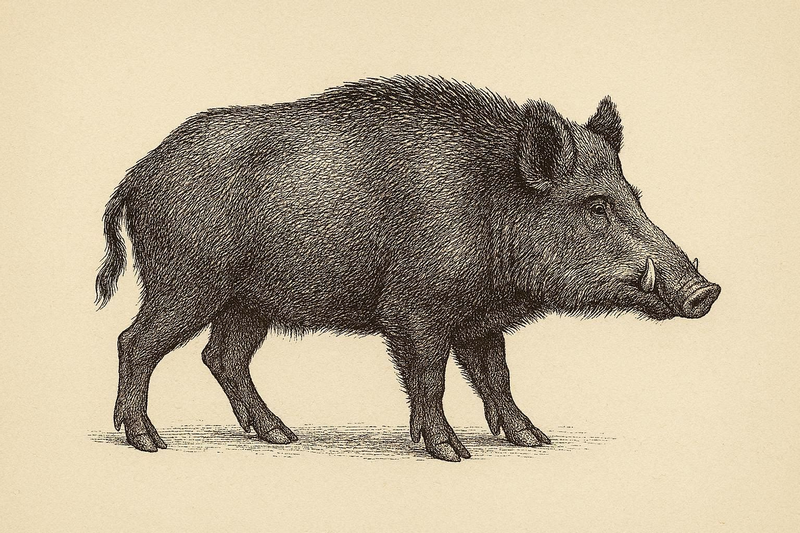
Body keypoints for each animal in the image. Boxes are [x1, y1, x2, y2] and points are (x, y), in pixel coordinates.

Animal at [96, 76, 720, 461]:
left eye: (635, 195)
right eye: (595, 205)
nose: (706, 290)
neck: (494, 208)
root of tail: (138, 173)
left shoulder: (478, 321)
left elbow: (497, 376)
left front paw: (535, 441)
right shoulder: (416, 311)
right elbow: (431, 378)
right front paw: (450, 453)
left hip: (247, 303)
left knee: (222, 357)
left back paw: (282, 436)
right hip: (186, 283)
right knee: (135, 342)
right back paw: (149, 443)